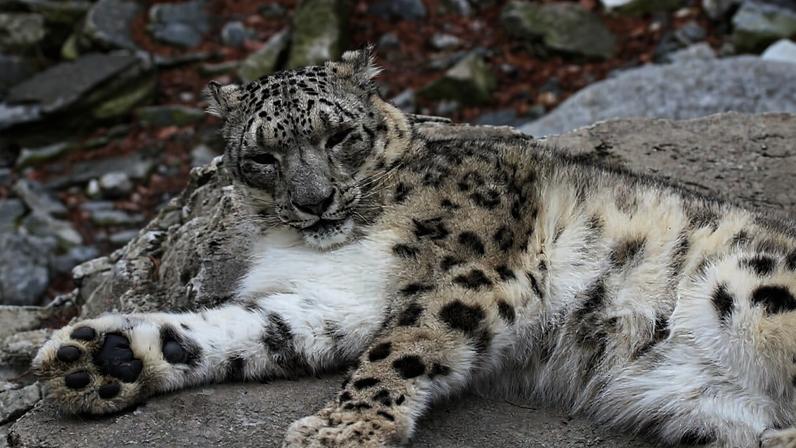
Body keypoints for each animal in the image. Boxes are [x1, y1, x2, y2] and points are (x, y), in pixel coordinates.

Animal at [32, 47, 796, 447]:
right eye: (263, 158)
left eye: (340, 135)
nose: (314, 202)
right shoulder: (326, 304)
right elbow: (241, 332)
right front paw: (102, 357)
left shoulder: (473, 267)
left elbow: (401, 347)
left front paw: (343, 428)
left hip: (754, 290)